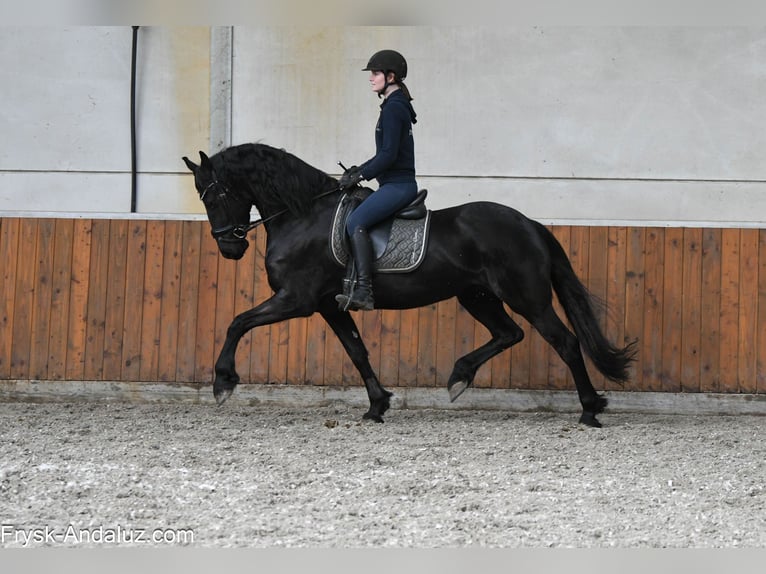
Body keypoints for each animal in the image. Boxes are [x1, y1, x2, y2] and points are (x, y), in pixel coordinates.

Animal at [182, 143, 637, 427]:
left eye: (213, 194)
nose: (229, 247)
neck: (303, 215)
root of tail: (530, 224)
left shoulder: (296, 298)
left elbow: (238, 322)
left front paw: (223, 382)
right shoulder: (329, 304)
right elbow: (356, 351)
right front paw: (377, 405)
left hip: (527, 297)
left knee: (564, 342)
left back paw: (590, 410)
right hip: (477, 295)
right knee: (509, 333)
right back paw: (459, 376)